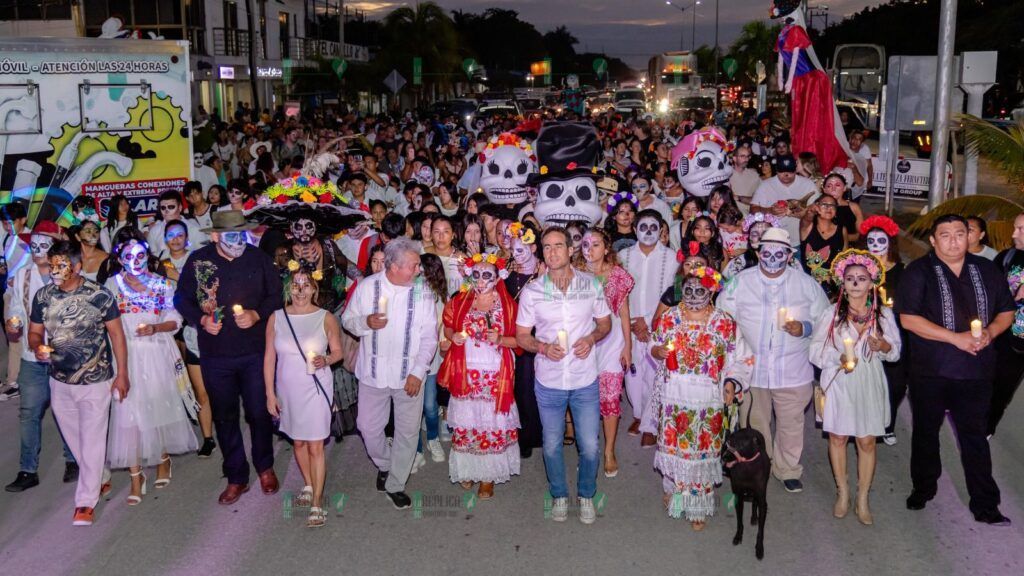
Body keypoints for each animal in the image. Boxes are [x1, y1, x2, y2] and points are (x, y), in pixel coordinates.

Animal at [720, 387, 770, 557]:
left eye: (741, 445)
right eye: (728, 442)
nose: (724, 457)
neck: (747, 467)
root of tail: (749, 426)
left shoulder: (762, 498)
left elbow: (761, 529)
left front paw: (759, 547)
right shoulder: (739, 497)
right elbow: (739, 521)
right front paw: (738, 536)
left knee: (755, 502)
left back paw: (754, 517)